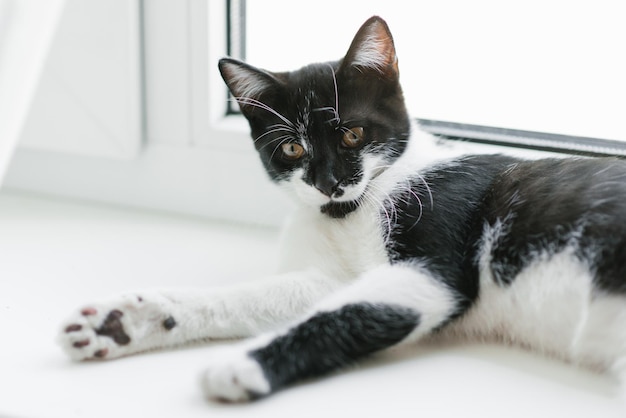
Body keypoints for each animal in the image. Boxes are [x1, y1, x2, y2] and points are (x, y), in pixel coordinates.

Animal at [57, 15, 624, 402]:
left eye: (352, 134)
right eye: (291, 148)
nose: (328, 183)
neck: (353, 212)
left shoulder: (432, 266)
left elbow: (343, 313)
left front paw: (240, 364)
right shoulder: (327, 276)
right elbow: (258, 296)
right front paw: (127, 321)